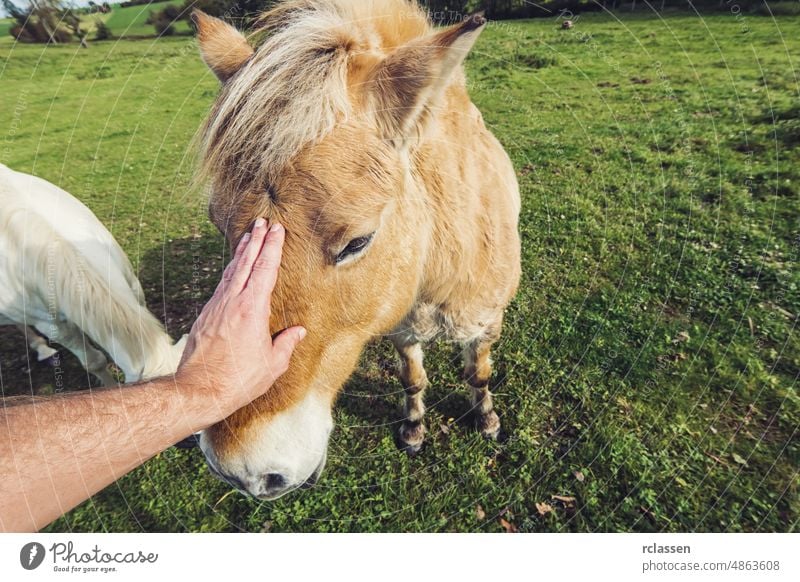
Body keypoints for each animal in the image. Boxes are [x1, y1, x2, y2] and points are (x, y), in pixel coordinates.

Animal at [191, 0, 520, 502]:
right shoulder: (401, 330)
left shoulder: (485, 324)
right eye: (219, 224)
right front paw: (413, 430)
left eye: (357, 242)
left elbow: (478, 375)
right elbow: (412, 379)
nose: (242, 469)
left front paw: (487, 421)